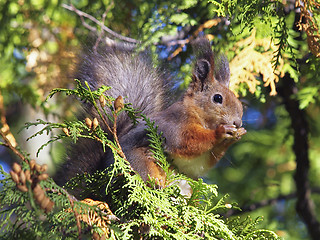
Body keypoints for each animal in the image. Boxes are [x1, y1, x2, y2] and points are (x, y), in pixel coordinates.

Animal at [53, 36, 246, 188]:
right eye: (218, 98)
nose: (237, 122)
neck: (199, 115)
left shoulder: (194, 164)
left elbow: (200, 163)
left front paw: (236, 135)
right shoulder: (175, 124)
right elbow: (187, 142)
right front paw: (220, 132)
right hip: (138, 162)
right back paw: (157, 183)